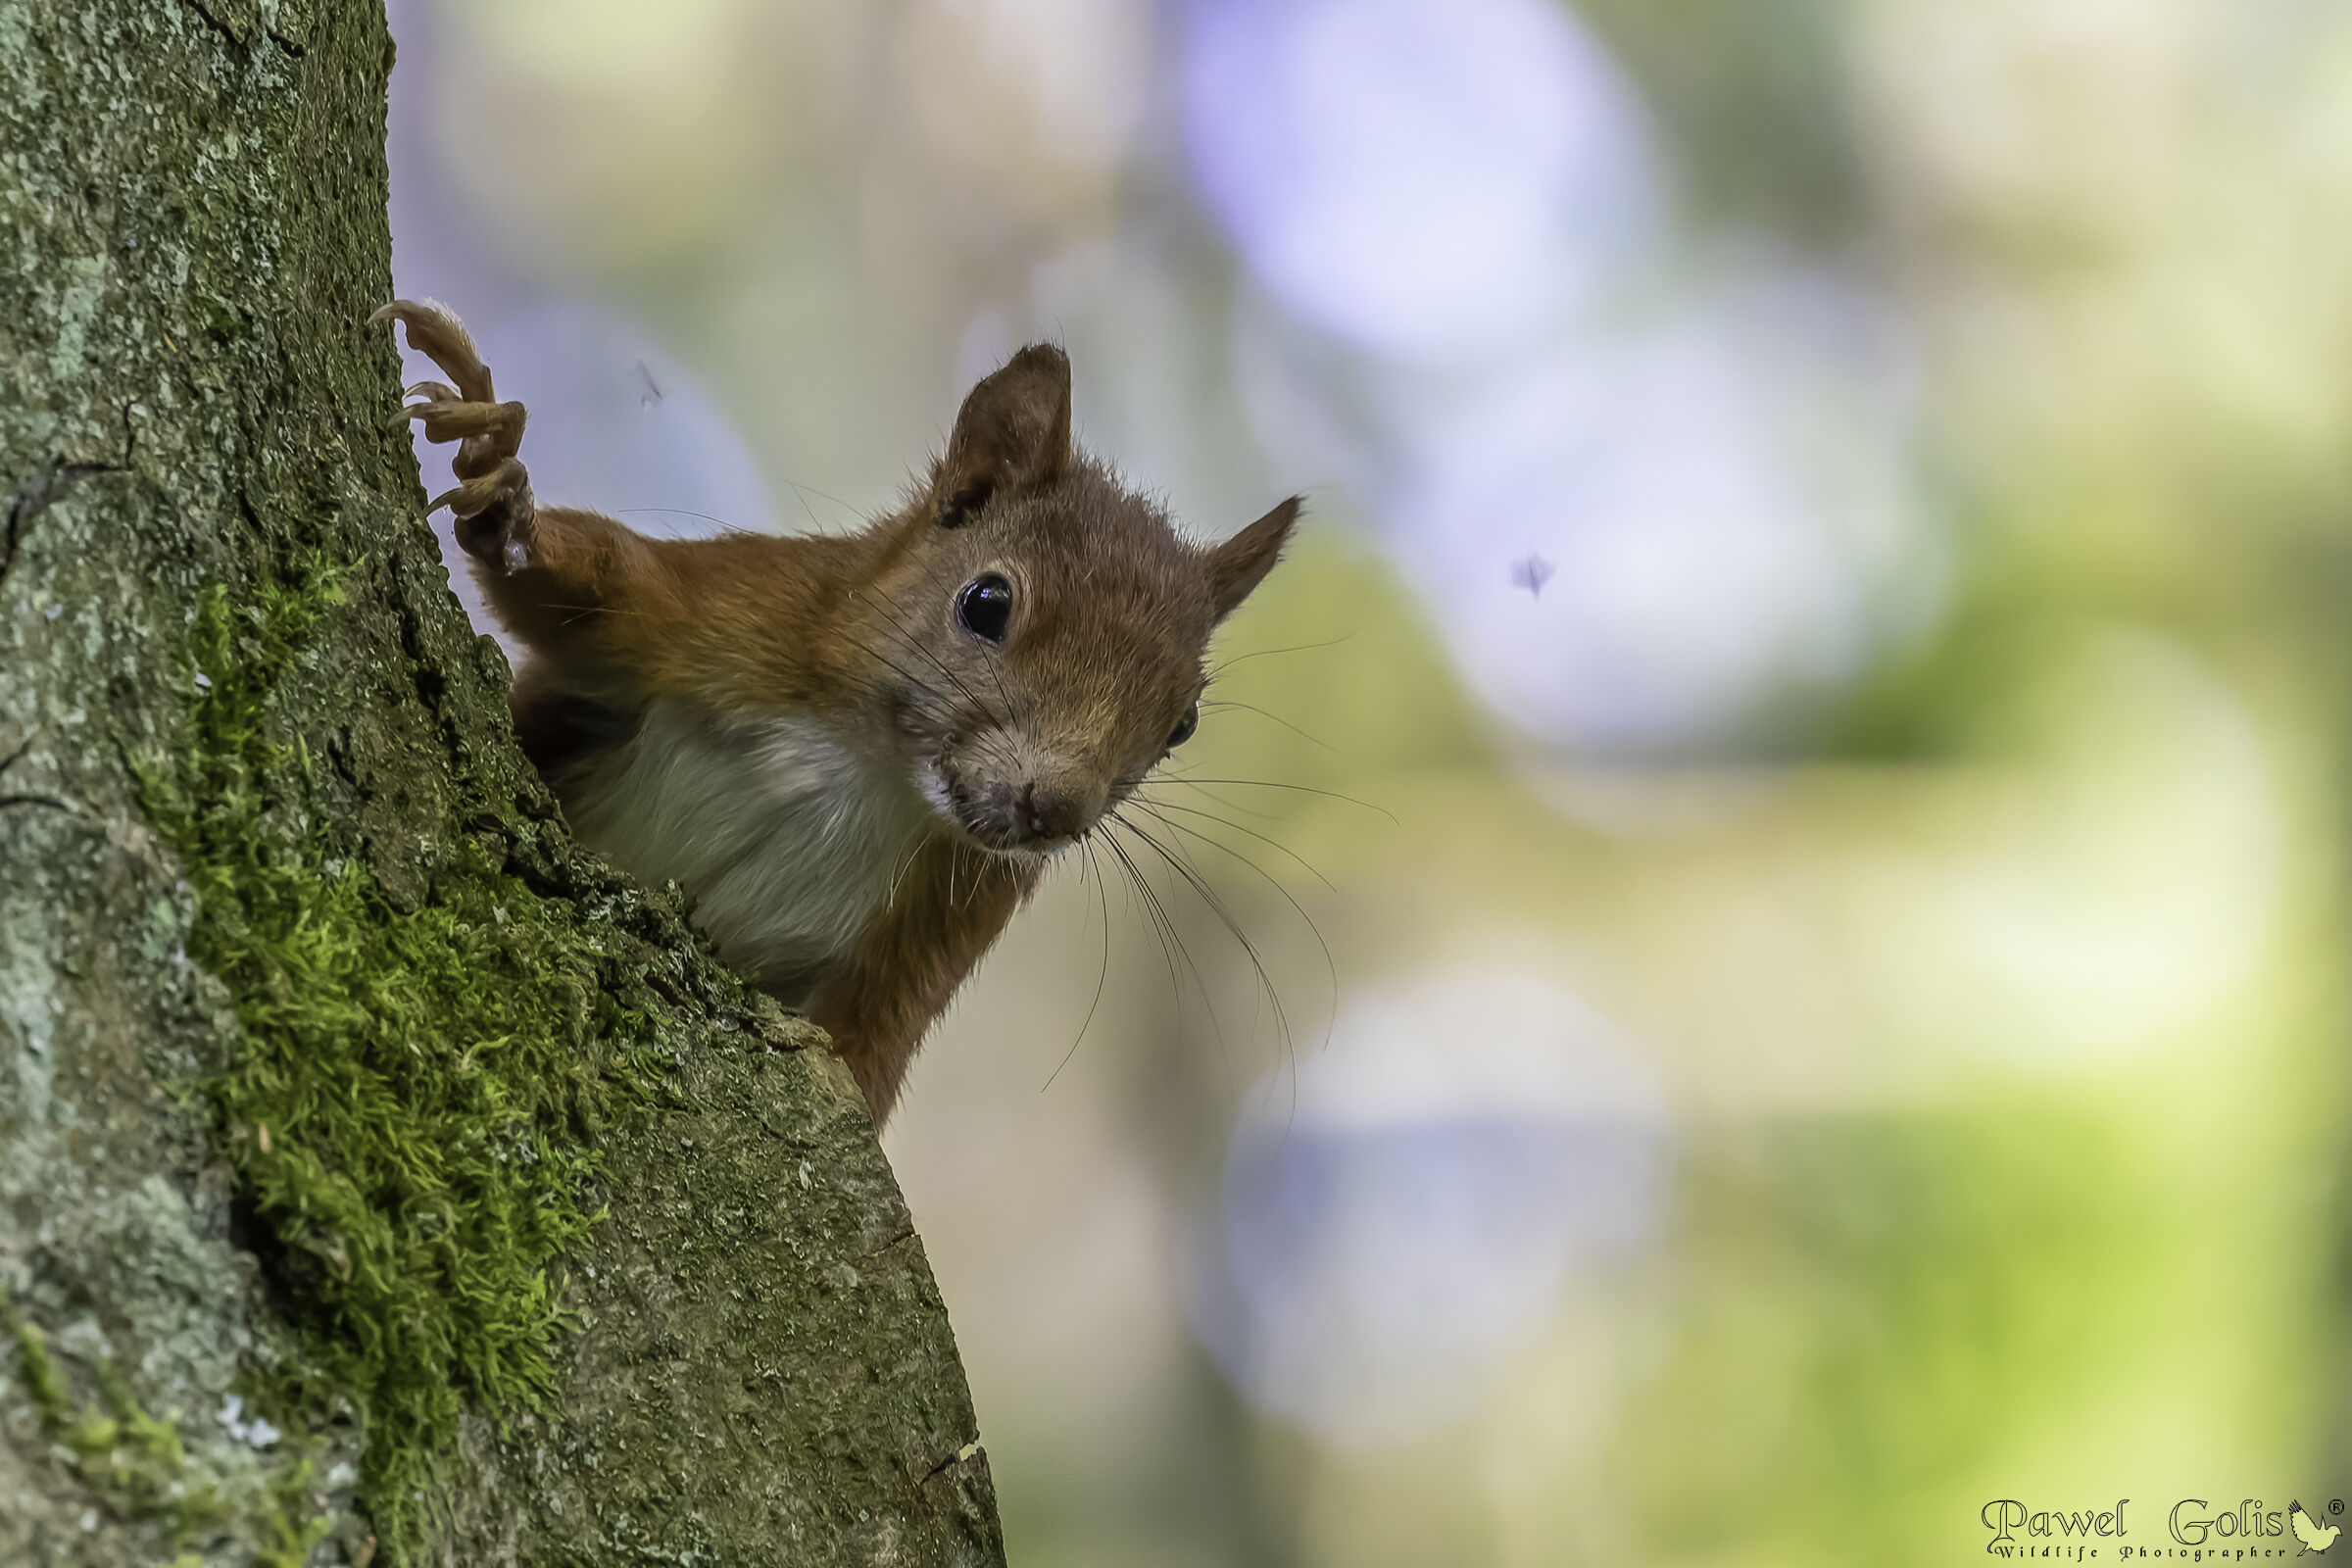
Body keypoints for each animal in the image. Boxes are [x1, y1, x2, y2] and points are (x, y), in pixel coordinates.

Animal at [374, 300, 1299, 1125]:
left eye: (1182, 723)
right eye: (987, 602)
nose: (1058, 810)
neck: (865, 764)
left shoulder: (947, 917)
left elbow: (866, 1055)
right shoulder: (733, 609)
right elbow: (579, 591)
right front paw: (499, 479)